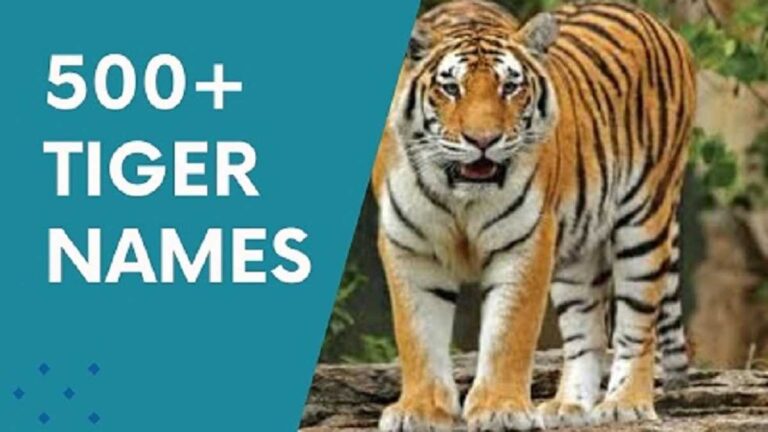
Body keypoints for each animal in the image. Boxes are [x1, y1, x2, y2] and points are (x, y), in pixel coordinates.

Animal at [371, 0, 696, 430]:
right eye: (451, 88)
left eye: (510, 87)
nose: (483, 141)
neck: (461, 196)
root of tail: (663, 27)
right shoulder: (409, 246)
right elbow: (417, 334)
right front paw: (421, 410)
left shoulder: (526, 241)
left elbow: (509, 332)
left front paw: (500, 409)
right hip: (577, 253)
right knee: (587, 332)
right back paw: (568, 406)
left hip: (645, 220)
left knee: (637, 325)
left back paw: (625, 403)